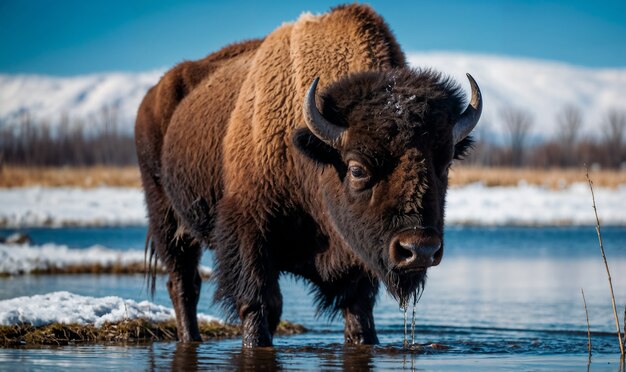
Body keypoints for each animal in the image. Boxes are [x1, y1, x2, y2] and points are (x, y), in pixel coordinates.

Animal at [134, 4, 480, 348]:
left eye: (444, 165)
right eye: (357, 169)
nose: (419, 249)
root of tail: (152, 97)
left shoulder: (356, 262)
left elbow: (358, 312)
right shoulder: (248, 230)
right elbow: (260, 304)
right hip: (166, 217)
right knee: (184, 283)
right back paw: (190, 338)